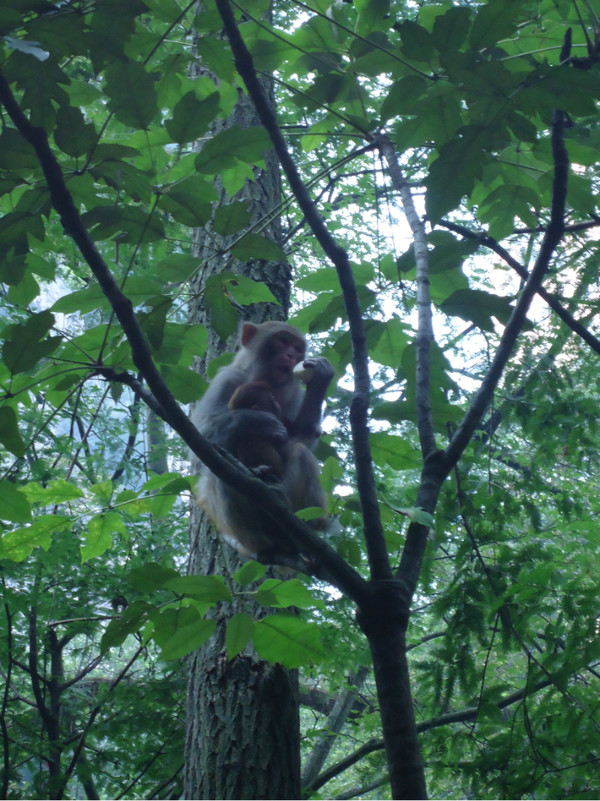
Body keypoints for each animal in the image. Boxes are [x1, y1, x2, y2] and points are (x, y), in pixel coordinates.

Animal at [193, 318, 336, 556]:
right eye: (283, 341)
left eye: (298, 348)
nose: (291, 355)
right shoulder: (226, 380)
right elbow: (202, 438)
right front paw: (259, 421)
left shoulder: (294, 392)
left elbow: (300, 440)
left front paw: (320, 381)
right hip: (245, 534)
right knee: (220, 468)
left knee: (299, 452)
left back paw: (303, 519)